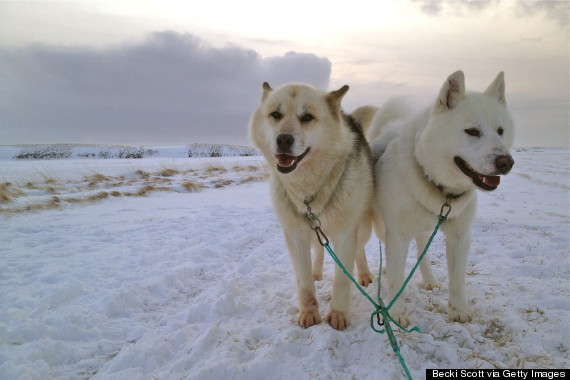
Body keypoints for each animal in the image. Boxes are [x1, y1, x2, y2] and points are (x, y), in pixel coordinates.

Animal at [247, 82, 372, 330]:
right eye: (275, 114)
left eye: (307, 117)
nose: (284, 139)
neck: (307, 189)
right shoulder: (296, 236)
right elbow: (304, 283)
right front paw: (308, 312)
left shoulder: (345, 235)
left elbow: (342, 279)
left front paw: (338, 314)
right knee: (319, 251)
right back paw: (317, 273)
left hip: (361, 227)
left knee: (359, 251)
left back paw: (363, 275)